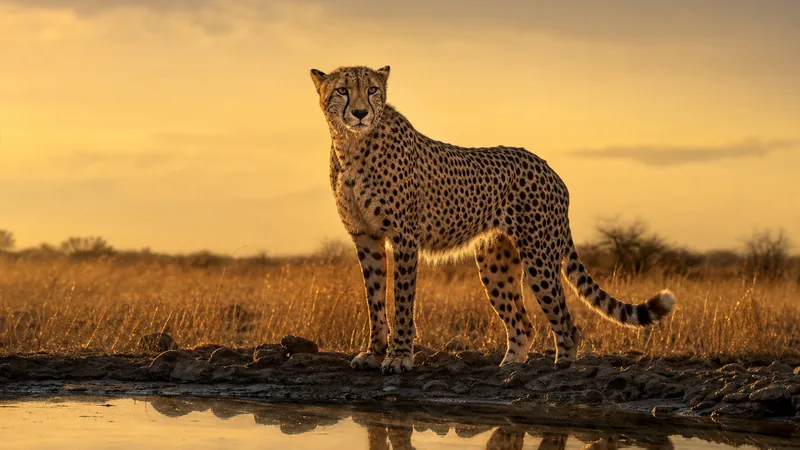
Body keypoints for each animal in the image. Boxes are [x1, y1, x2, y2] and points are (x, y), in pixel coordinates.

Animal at [310, 65, 675, 375]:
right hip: (495, 261)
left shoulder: (403, 237)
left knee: (567, 322)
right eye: (342, 90)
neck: (352, 144)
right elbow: (374, 300)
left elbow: (401, 301)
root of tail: (549, 168)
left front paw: (399, 357)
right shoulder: (365, 237)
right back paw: (510, 364)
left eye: (372, 89)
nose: (360, 113)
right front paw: (373, 354)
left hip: (540, 255)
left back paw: (563, 366)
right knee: (523, 323)